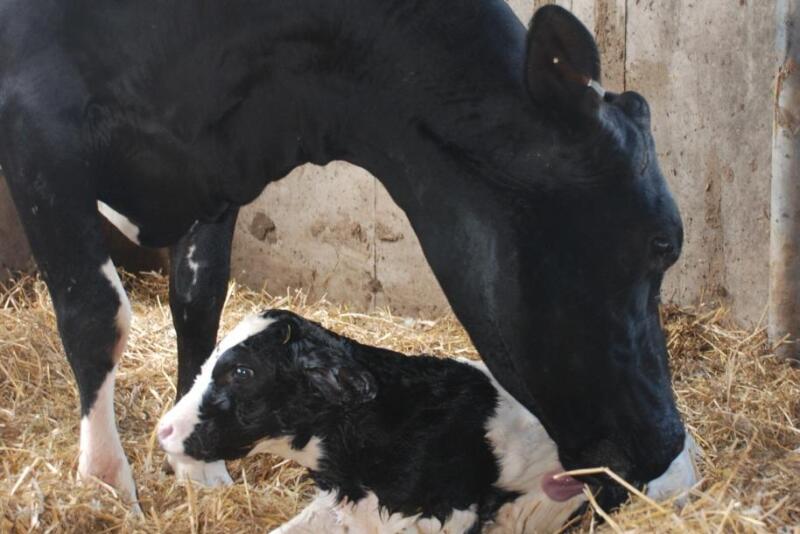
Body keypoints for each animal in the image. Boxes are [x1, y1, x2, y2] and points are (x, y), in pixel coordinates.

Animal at [0, 0, 690, 511]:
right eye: (662, 243)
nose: (667, 442)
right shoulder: (37, 124)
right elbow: (97, 315)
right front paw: (104, 484)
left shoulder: (217, 166)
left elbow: (200, 297)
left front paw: (199, 465)